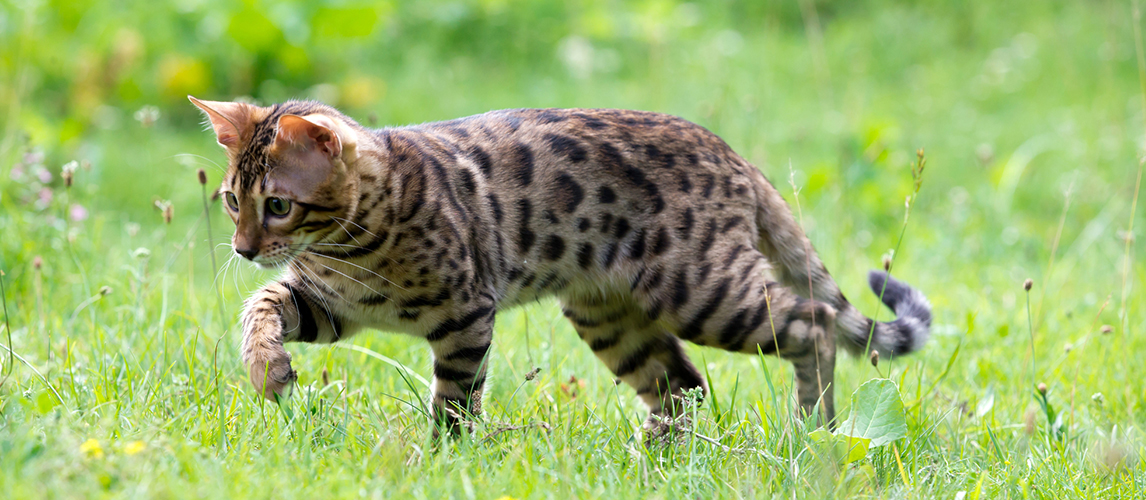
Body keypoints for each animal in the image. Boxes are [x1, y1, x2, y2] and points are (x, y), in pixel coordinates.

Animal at [190, 96, 930, 433]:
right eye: (231, 200)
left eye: (278, 205)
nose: (242, 249)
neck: (346, 242)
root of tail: (733, 154)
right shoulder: (329, 306)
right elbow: (259, 307)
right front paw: (267, 368)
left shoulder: (466, 311)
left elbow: (455, 397)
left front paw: (441, 457)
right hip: (608, 314)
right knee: (683, 386)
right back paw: (651, 461)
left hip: (704, 290)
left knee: (814, 322)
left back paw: (815, 428)